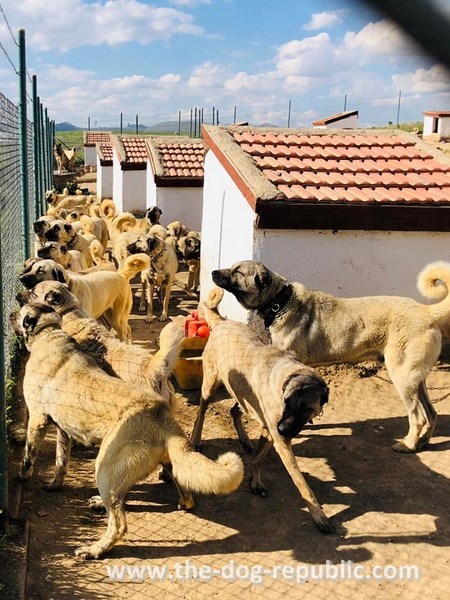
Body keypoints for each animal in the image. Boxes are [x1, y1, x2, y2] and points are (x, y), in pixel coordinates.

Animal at [10, 304, 243, 564]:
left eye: (21, 312)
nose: (10, 314)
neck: (48, 334)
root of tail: (159, 414)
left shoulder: (37, 420)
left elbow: (28, 456)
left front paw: (21, 476)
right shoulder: (63, 429)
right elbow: (61, 462)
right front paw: (54, 484)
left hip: (105, 467)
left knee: (119, 523)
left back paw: (95, 549)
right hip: (151, 465)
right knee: (180, 493)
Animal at [18, 253, 149, 342]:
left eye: (40, 270)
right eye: (31, 268)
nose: (21, 277)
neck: (69, 290)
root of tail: (121, 274)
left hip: (116, 319)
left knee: (124, 332)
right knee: (128, 328)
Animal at [190, 288, 330, 532]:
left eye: (307, 408)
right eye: (287, 402)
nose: (283, 429)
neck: (287, 375)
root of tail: (222, 322)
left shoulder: (271, 431)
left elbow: (259, 459)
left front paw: (255, 482)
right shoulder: (279, 437)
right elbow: (300, 481)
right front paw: (318, 514)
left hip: (242, 393)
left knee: (235, 411)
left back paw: (245, 440)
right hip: (210, 385)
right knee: (202, 412)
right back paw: (196, 439)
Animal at [212, 260, 450, 452]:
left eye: (238, 271)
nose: (213, 272)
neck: (281, 301)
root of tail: (426, 311)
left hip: (402, 377)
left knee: (418, 417)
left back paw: (408, 445)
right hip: (415, 379)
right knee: (431, 413)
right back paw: (423, 442)